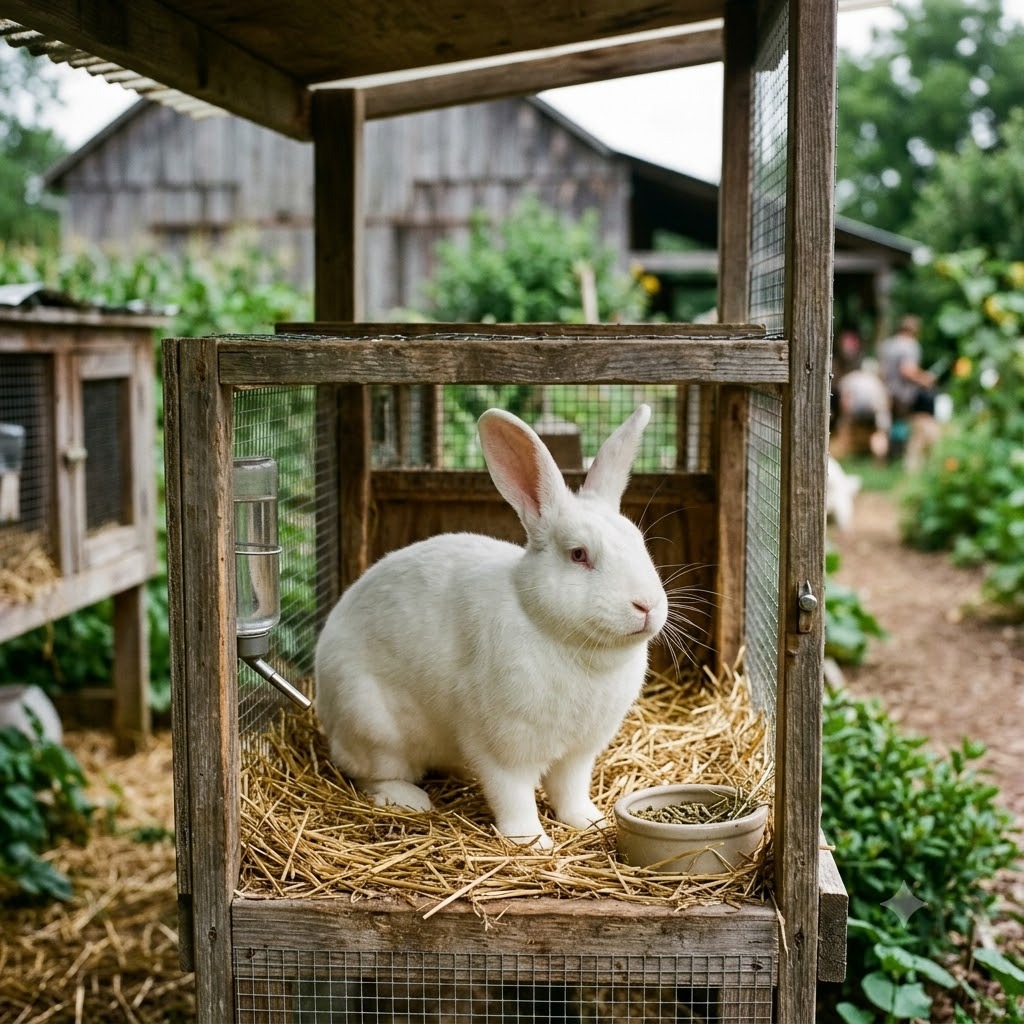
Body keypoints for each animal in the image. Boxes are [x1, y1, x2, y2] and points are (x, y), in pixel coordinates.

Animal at [314, 404, 668, 848]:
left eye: (640, 542)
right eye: (578, 554)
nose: (647, 605)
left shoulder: (578, 753)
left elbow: (569, 791)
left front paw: (590, 821)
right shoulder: (502, 748)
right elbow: (513, 796)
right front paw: (532, 842)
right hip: (374, 727)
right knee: (369, 775)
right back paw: (410, 800)